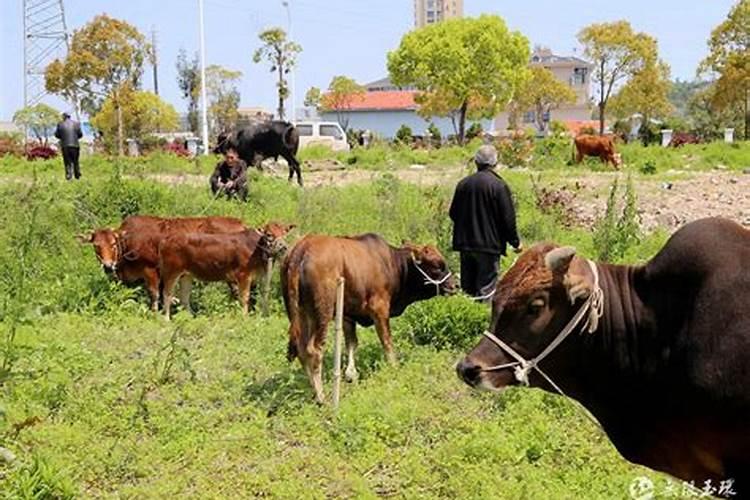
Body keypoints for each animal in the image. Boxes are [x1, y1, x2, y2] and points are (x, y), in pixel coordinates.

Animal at [81, 214, 248, 308]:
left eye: (113, 244)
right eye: (96, 246)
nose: (108, 266)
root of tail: (241, 224)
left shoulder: (150, 269)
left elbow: (154, 294)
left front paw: (154, 312)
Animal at [282, 233, 458, 402]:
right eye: (437, 266)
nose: (455, 285)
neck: (392, 263)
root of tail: (301, 249)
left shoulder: (347, 315)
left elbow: (352, 343)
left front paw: (351, 373)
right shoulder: (379, 308)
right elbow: (387, 341)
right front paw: (394, 367)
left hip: (302, 314)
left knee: (301, 348)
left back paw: (312, 389)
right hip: (322, 313)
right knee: (313, 350)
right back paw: (321, 396)